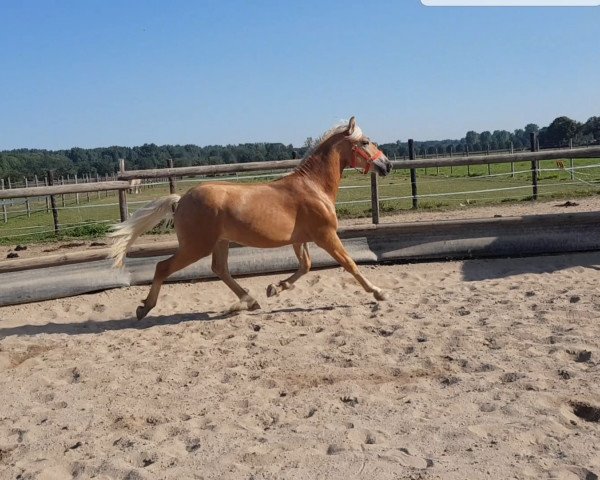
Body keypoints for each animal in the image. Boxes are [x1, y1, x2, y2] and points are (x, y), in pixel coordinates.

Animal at [110, 116, 394, 320]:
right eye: (366, 142)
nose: (387, 165)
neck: (313, 187)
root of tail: (180, 201)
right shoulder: (326, 235)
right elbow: (350, 264)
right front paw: (379, 292)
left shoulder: (300, 239)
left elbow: (306, 266)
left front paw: (275, 288)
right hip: (196, 246)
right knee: (163, 267)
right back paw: (144, 308)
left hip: (220, 242)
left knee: (220, 269)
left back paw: (250, 301)